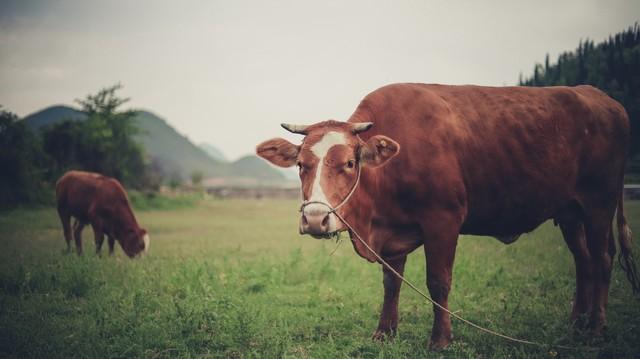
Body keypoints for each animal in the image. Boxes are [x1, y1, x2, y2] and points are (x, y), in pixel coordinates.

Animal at [256, 83, 640, 348]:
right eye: (301, 165)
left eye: (350, 163)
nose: (315, 219)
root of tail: (602, 99)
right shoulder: (392, 233)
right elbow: (391, 282)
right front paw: (384, 332)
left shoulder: (443, 221)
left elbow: (438, 281)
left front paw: (440, 339)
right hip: (570, 212)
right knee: (583, 260)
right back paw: (577, 322)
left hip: (599, 204)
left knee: (602, 259)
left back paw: (595, 329)